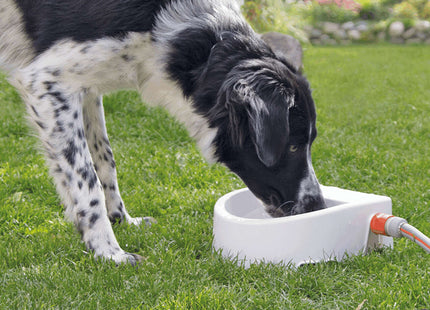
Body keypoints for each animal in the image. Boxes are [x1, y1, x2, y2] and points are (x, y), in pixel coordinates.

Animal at [0, 0, 324, 264]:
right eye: (292, 147)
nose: (317, 205)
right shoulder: (46, 80)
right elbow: (86, 177)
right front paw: (108, 252)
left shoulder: (85, 86)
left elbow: (105, 157)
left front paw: (121, 219)